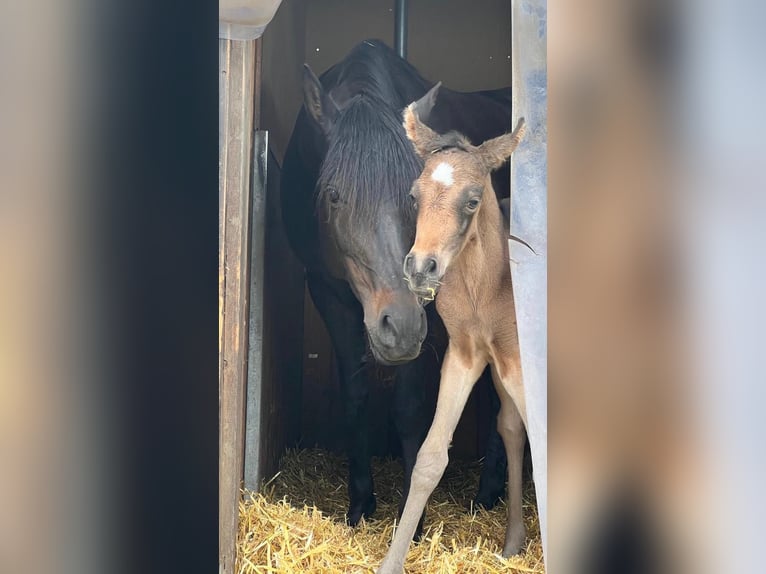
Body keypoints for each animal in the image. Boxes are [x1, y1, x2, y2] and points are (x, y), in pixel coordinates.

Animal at [284, 40, 516, 536]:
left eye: (412, 195)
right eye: (333, 196)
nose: (400, 326)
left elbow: (410, 406)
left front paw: (416, 516)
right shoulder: (328, 291)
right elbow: (355, 399)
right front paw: (360, 505)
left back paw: (488, 493)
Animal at [378, 86, 528, 574]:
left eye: (472, 199)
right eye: (413, 195)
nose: (421, 267)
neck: (485, 289)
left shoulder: (521, 360)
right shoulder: (466, 354)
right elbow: (429, 457)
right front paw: (392, 561)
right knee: (510, 427)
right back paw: (514, 541)